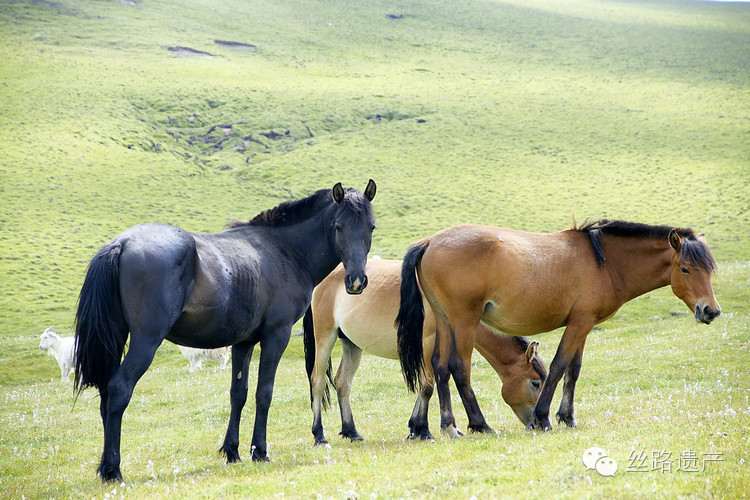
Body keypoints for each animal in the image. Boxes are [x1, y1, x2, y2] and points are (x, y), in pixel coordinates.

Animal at [74, 180, 378, 480]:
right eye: (338, 226)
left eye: (371, 227)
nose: (356, 281)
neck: (285, 251)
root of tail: (122, 243)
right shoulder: (275, 336)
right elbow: (264, 393)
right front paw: (260, 451)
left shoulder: (243, 342)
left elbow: (238, 394)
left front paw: (232, 450)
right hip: (145, 342)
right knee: (119, 390)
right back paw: (113, 469)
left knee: (106, 395)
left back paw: (105, 466)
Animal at [302, 258, 548, 442]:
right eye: (535, 383)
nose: (536, 424)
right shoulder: (427, 344)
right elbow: (428, 385)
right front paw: (424, 430)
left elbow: (432, 383)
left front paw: (416, 428)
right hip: (325, 337)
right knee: (317, 382)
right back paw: (319, 435)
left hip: (352, 345)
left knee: (342, 383)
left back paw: (351, 432)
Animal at [400, 221, 724, 432]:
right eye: (685, 269)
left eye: (709, 269)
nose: (710, 310)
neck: (606, 263)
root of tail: (429, 242)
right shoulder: (579, 323)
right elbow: (558, 366)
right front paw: (542, 418)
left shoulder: (586, 323)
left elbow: (573, 370)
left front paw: (567, 417)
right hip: (464, 321)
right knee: (459, 367)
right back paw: (480, 425)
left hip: (445, 320)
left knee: (440, 366)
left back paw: (449, 425)